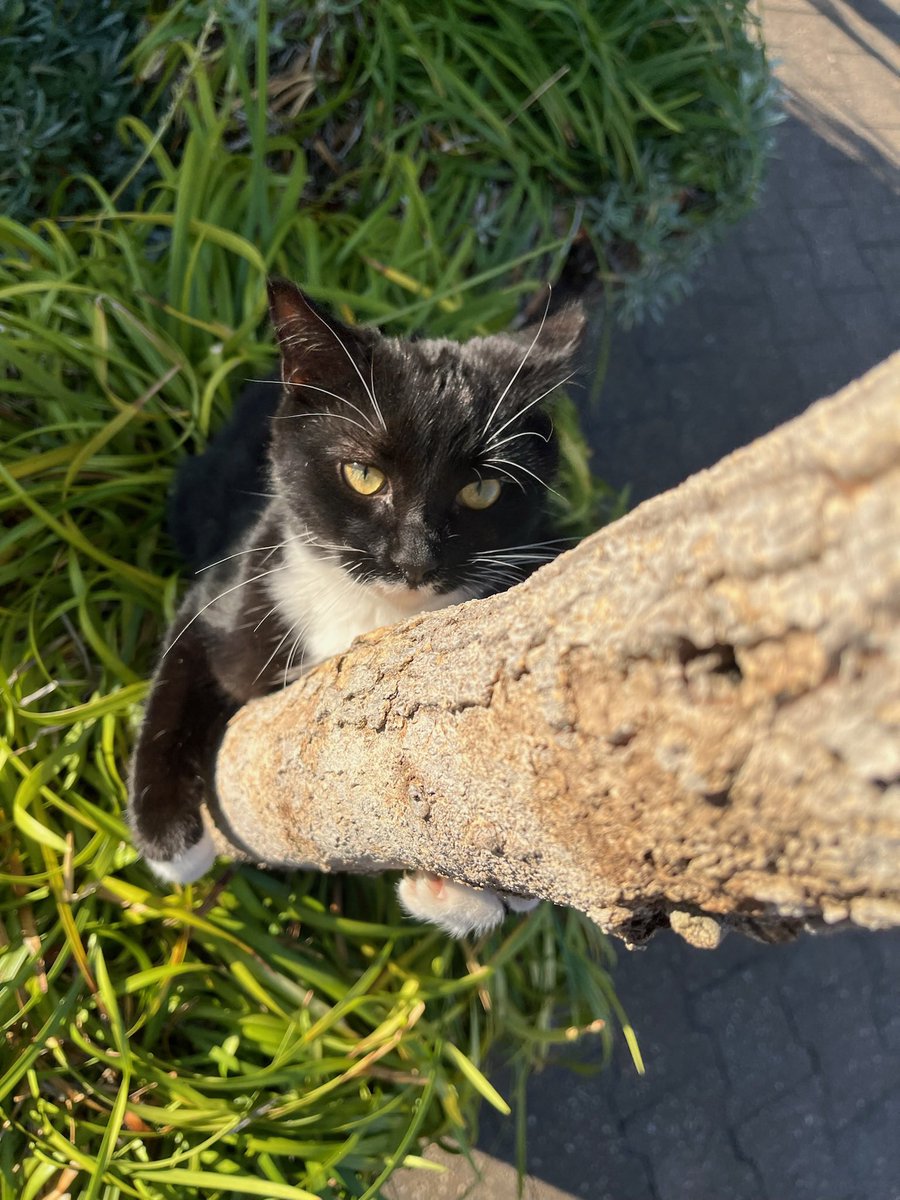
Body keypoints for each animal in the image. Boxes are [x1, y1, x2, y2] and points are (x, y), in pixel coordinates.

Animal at [130, 278, 588, 936]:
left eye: (482, 489)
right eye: (363, 475)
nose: (415, 559)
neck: (371, 610)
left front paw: (456, 892)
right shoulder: (234, 586)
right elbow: (175, 684)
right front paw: (168, 844)